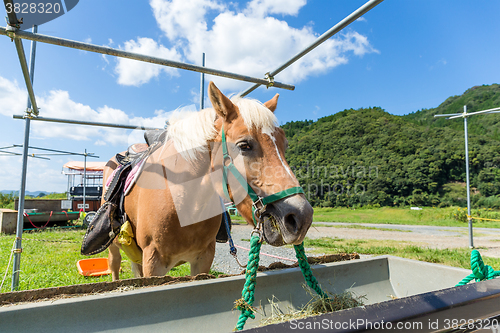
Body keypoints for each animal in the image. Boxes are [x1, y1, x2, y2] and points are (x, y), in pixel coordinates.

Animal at [105, 81, 312, 278]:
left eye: (284, 145)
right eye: (244, 145)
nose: (302, 217)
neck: (184, 203)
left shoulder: (203, 259)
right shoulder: (153, 262)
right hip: (115, 248)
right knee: (114, 265)